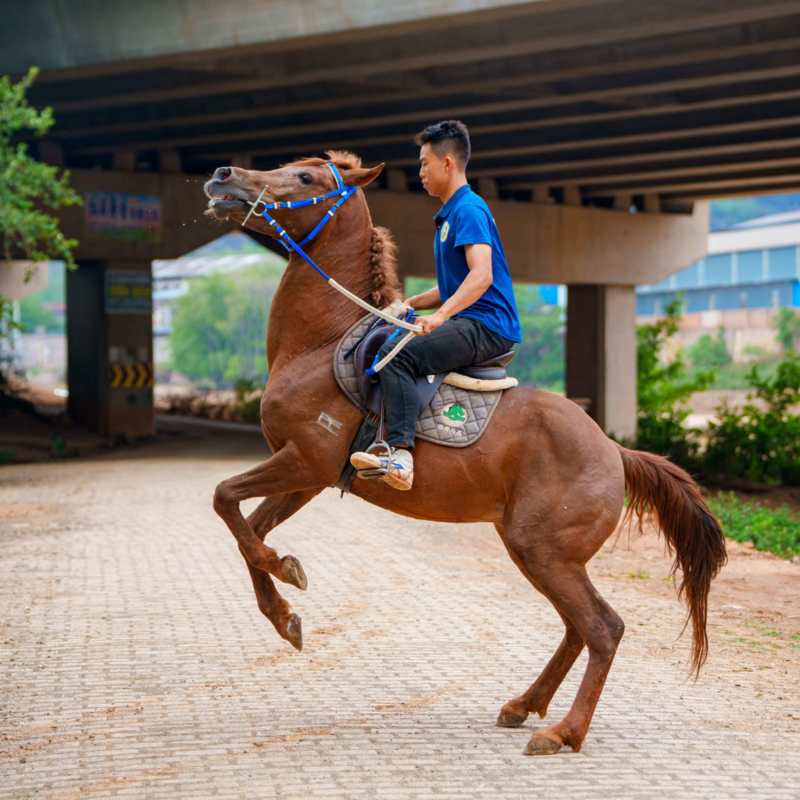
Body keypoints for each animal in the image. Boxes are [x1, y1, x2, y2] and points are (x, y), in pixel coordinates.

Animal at [203, 150, 727, 756]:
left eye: (306, 178)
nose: (222, 177)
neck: (321, 343)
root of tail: (614, 450)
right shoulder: (306, 476)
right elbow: (250, 531)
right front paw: (285, 607)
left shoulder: (305, 461)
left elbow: (225, 501)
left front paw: (284, 574)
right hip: (534, 551)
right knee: (577, 628)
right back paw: (524, 705)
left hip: (546, 553)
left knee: (603, 628)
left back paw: (562, 732)